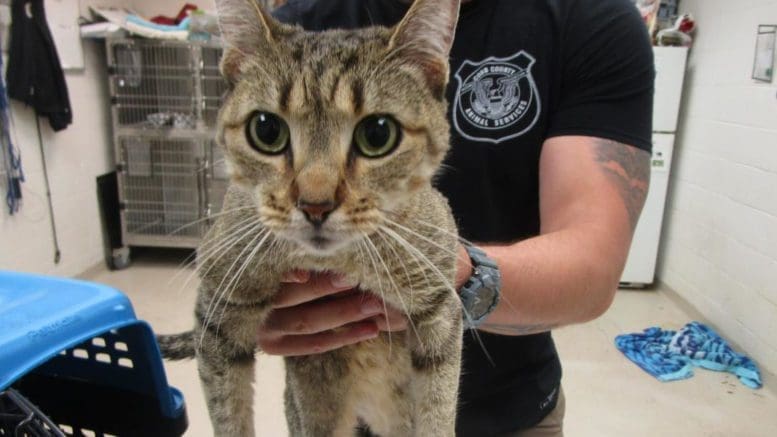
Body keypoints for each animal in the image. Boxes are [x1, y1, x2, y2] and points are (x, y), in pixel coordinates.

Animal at [155, 0, 464, 434]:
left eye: (378, 133)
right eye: (266, 130)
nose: (315, 204)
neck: (337, 264)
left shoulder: (441, 308)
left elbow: (438, 409)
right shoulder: (216, 311)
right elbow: (228, 411)